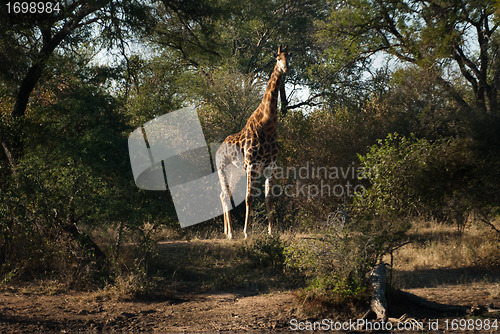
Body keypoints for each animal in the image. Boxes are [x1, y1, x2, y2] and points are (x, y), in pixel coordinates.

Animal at [215, 44, 290, 239]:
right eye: (277, 58)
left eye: (289, 56)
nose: (285, 68)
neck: (268, 126)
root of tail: (218, 151)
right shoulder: (252, 165)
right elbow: (249, 198)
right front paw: (247, 232)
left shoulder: (270, 166)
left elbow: (268, 198)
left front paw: (271, 232)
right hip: (222, 169)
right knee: (225, 195)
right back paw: (231, 233)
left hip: (235, 172)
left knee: (223, 195)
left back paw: (227, 232)